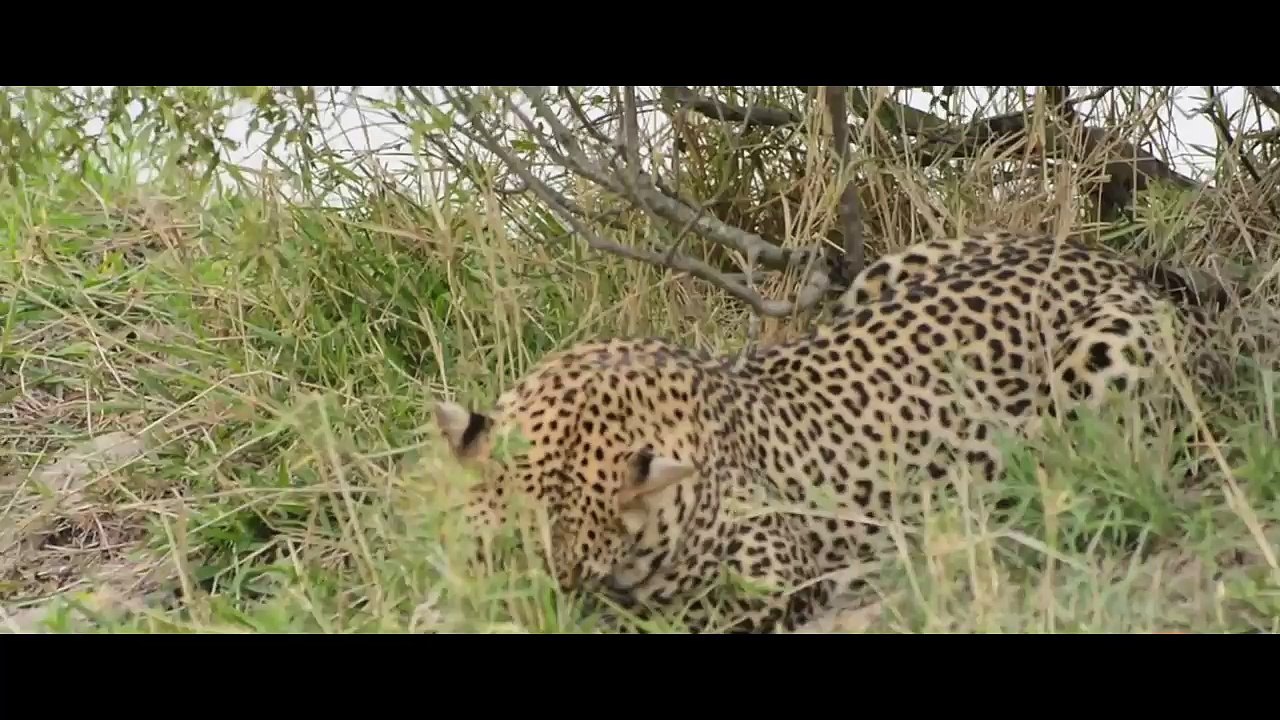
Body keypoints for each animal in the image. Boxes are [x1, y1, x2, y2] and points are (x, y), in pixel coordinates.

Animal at [432, 229, 1226, 633]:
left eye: (574, 579)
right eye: (491, 558)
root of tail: (1109, 256)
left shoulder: (767, 578)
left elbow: (654, 621)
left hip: (1102, 364)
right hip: (887, 270)